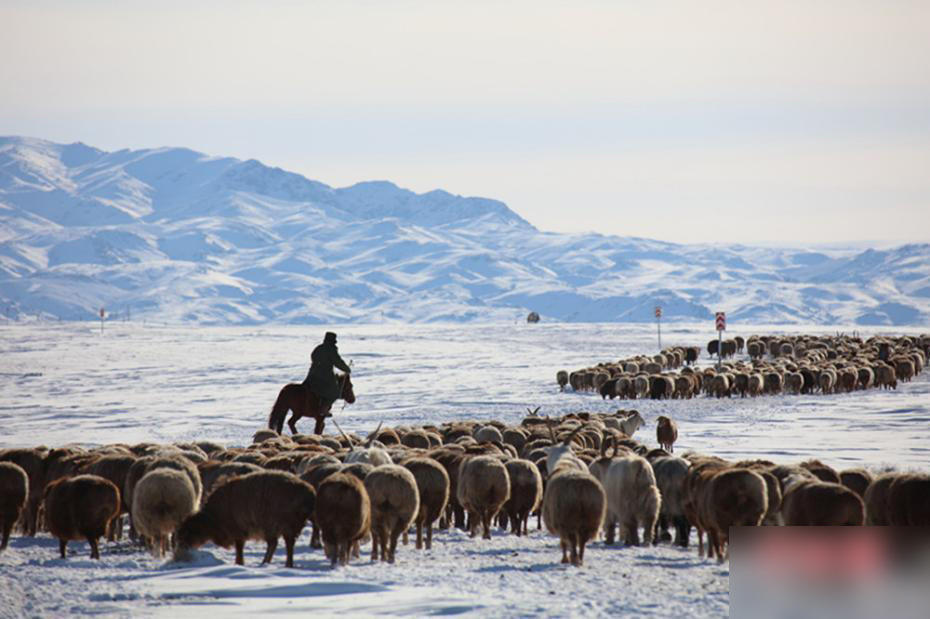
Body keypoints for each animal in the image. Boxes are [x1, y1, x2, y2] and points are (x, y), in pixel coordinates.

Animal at [174, 472, 316, 568]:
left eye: (187, 533)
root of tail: (309, 494)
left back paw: (269, 563)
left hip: (279, 523)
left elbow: (239, 548)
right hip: (286, 525)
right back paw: (282, 564)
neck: (213, 518)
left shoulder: (237, 529)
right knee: (285, 544)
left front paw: (239, 563)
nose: (180, 553)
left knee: (278, 544)